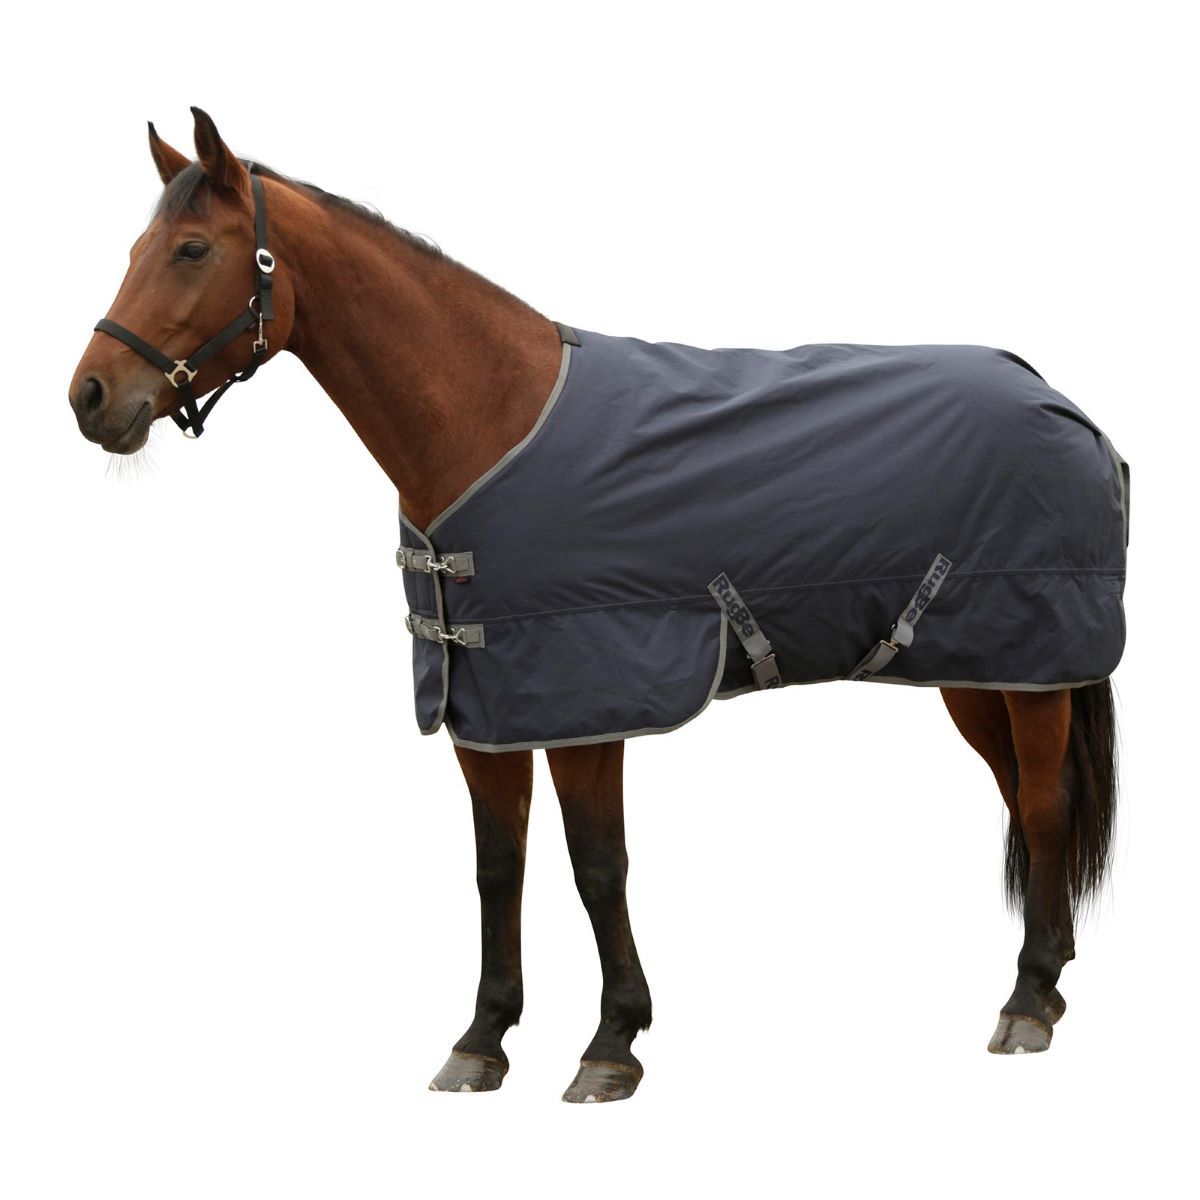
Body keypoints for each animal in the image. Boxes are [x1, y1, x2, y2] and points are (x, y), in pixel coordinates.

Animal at [69, 109, 1123, 1103]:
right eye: (133, 251)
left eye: (191, 250)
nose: (90, 397)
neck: (492, 417)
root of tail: (1058, 399)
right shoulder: (486, 708)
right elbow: (499, 868)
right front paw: (482, 1038)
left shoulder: (589, 698)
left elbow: (595, 866)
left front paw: (612, 1042)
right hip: (981, 670)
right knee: (1027, 804)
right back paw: (1053, 977)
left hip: (1031, 667)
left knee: (1043, 802)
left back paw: (1029, 1000)